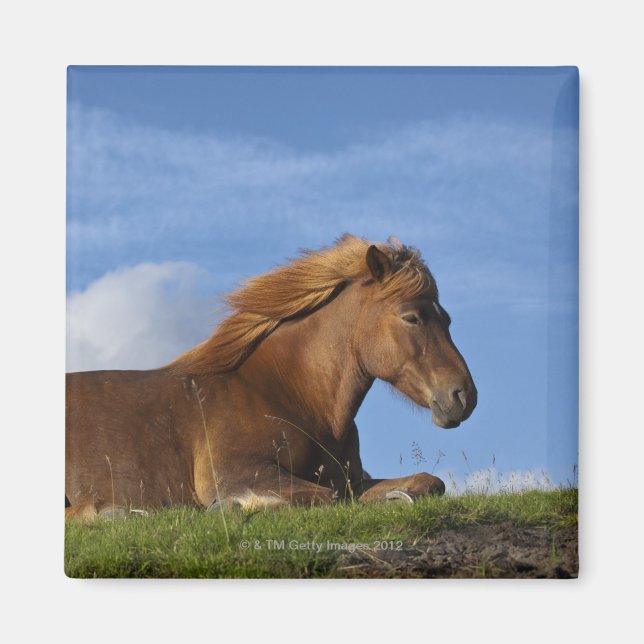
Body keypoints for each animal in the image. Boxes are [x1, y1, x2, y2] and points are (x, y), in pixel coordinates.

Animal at [65, 234, 477, 519]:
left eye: (447, 319)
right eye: (411, 317)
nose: (463, 396)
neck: (286, 394)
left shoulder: (351, 480)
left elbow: (429, 482)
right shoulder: (240, 473)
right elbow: (324, 498)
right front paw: (232, 506)